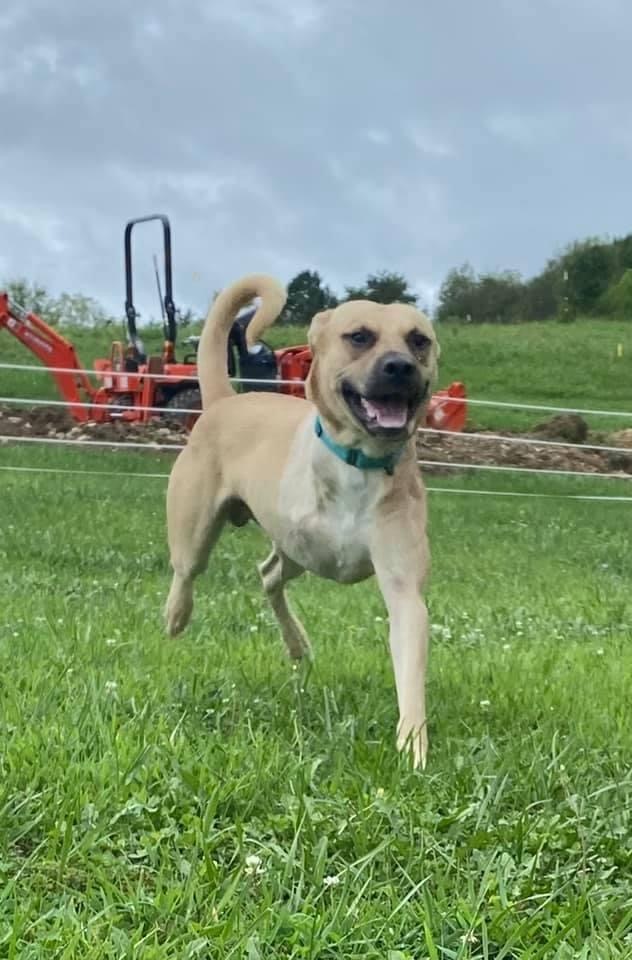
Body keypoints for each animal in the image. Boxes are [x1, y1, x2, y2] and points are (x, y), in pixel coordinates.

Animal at [164, 274, 440, 768]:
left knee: (268, 574)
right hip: (202, 527)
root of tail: (224, 400)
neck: (360, 461)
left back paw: (296, 643)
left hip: (298, 553)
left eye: (418, 340)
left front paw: (413, 746)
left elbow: (409, 664)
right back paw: (176, 616)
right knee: (188, 570)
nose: (400, 367)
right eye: (359, 336)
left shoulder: (404, 588)